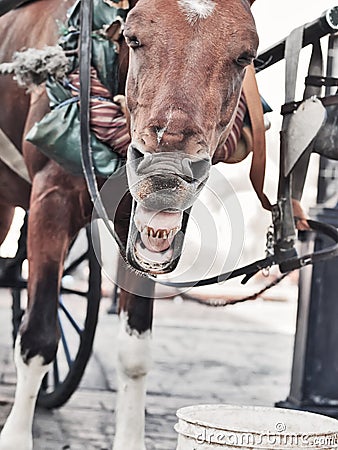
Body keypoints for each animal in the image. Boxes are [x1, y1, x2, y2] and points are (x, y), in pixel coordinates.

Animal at [0, 1, 258, 448]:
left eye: (245, 56)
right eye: (133, 38)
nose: (166, 172)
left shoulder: (139, 232)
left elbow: (135, 349)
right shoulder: (51, 200)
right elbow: (37, 338)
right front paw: (16, 436)